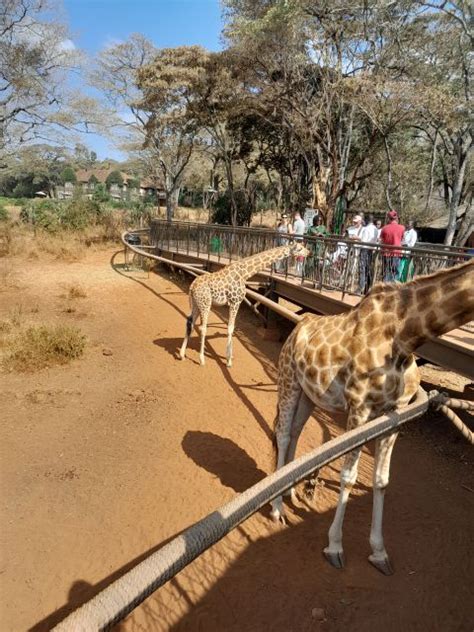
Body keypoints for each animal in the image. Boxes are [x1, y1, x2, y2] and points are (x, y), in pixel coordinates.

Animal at [180, 243, 310, 370]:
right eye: (299, 248)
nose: (309, 252)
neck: (245, 273)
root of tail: (192, 286)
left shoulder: (234, 303)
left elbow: (231, 327)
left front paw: (230, 357)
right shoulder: (235, 302)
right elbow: (230, 328)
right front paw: (228, 361)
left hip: (196, 303)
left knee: (189, 322)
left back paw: (182, 354)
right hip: (205, 304)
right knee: (202, 328)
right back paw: (201, 359)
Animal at [270, 260, 474, 576]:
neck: (406, 336)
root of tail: (296, 330)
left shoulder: (393, 416)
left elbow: (381, 480)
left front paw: (379, 552)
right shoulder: (359, 408)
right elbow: (348, 476)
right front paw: (335, 547)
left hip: (309, 394)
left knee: (293, 433)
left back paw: (290, 493)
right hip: (288, 380)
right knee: (282, 433)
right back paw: (277, 508)